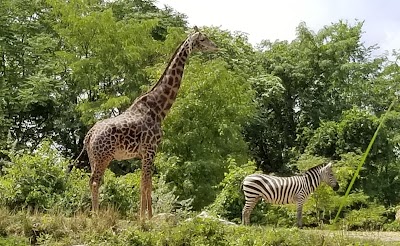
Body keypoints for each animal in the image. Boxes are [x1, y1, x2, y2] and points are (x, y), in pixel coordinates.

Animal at [69, 26, 219, 219]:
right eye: (203, 39)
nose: (215, 46)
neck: (158, 110)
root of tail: (89, 135)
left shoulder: (145, 153)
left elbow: (148, 183)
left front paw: (149, 215)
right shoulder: (150, 149)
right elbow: (145, 183)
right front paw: (143, 217)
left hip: (93, 157)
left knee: (92, 181)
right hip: (104, 157)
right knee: (95, 181)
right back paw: (96, 215)